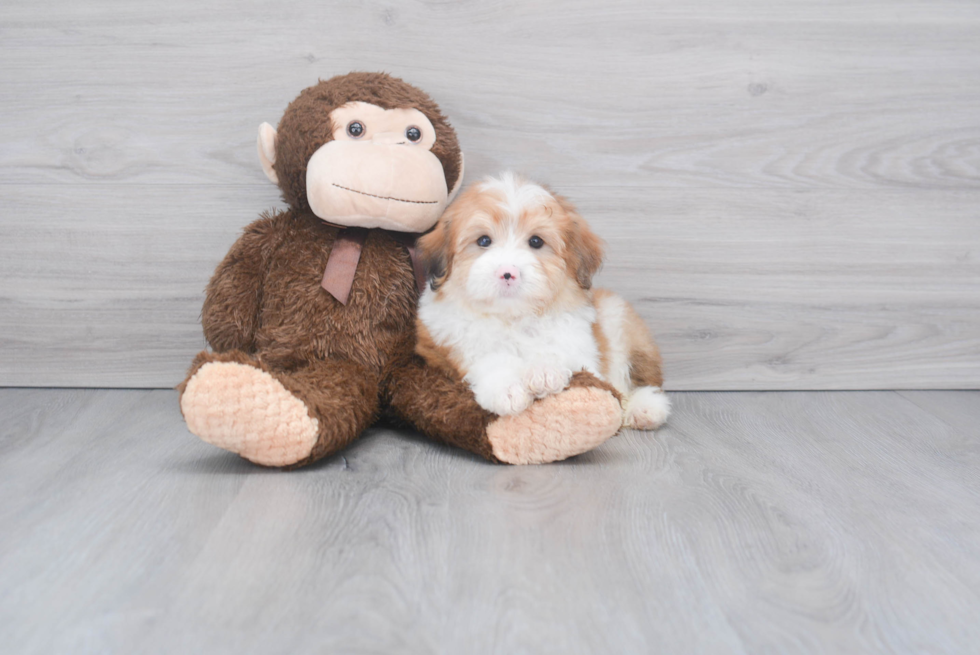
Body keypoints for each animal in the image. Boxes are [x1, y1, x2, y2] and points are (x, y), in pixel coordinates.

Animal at [414, 172, 672, 434]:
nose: (508, 273)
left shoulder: (582, 349)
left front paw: (545, 370)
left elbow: (563, 352)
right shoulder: (451, 346)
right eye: (484, 241)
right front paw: (507, 388)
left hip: (616, 314)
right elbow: (488, 359)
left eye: (536, 242)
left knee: (638, 381)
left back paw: (645, 408)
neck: (514, 318)